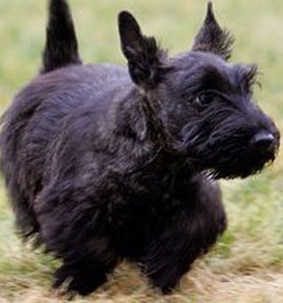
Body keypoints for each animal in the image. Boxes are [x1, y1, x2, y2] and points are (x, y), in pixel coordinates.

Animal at [0, 0, 280, 298]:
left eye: (248, 88)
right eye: (203, 98)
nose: (266, 139)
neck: (161, 163)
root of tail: (61, 67)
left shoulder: (195, 209)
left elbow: (180, 242)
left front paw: (163, 279)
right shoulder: (71, 209)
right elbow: (92, 249)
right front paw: (76, 283)